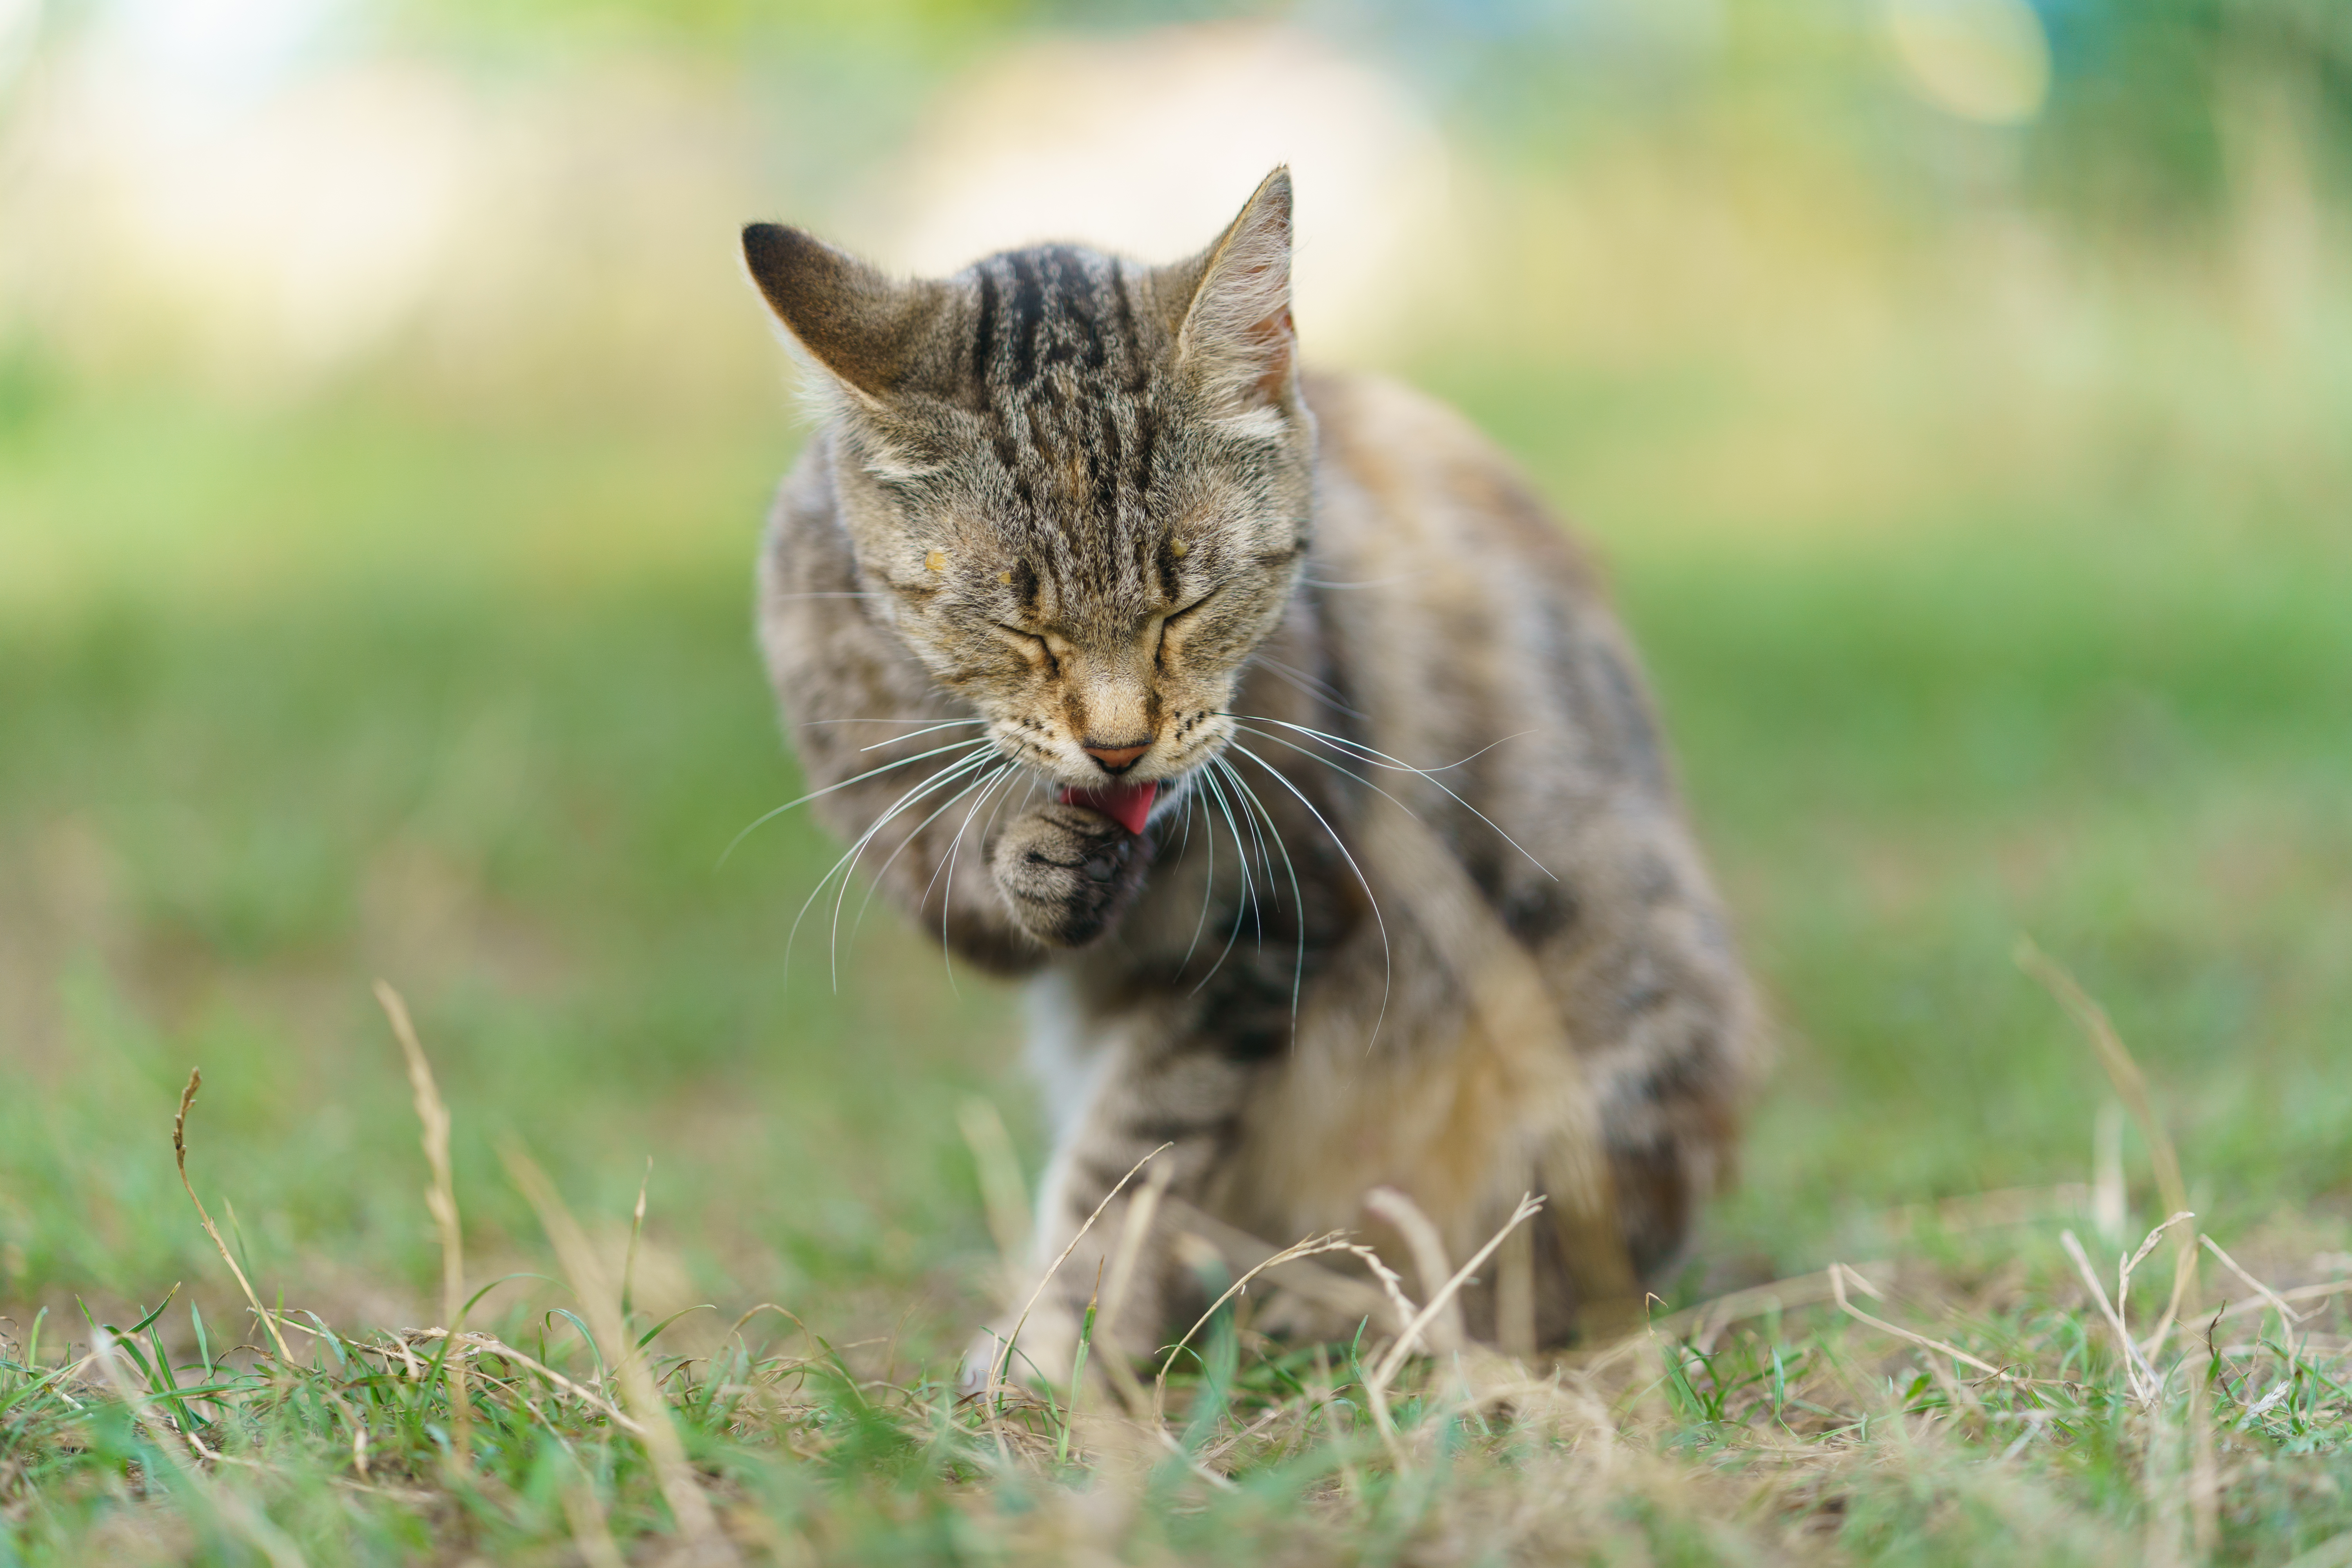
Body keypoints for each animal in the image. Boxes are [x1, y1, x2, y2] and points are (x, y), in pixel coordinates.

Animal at [743, 165, 1759, 1382]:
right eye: (1016, 623)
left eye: (1188, 604)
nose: (1119, 746)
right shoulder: (856, 752)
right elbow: (945, 874)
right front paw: (1030, 857)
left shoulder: (1269, 916)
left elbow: (1130, 1165)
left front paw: (1064, 1342)